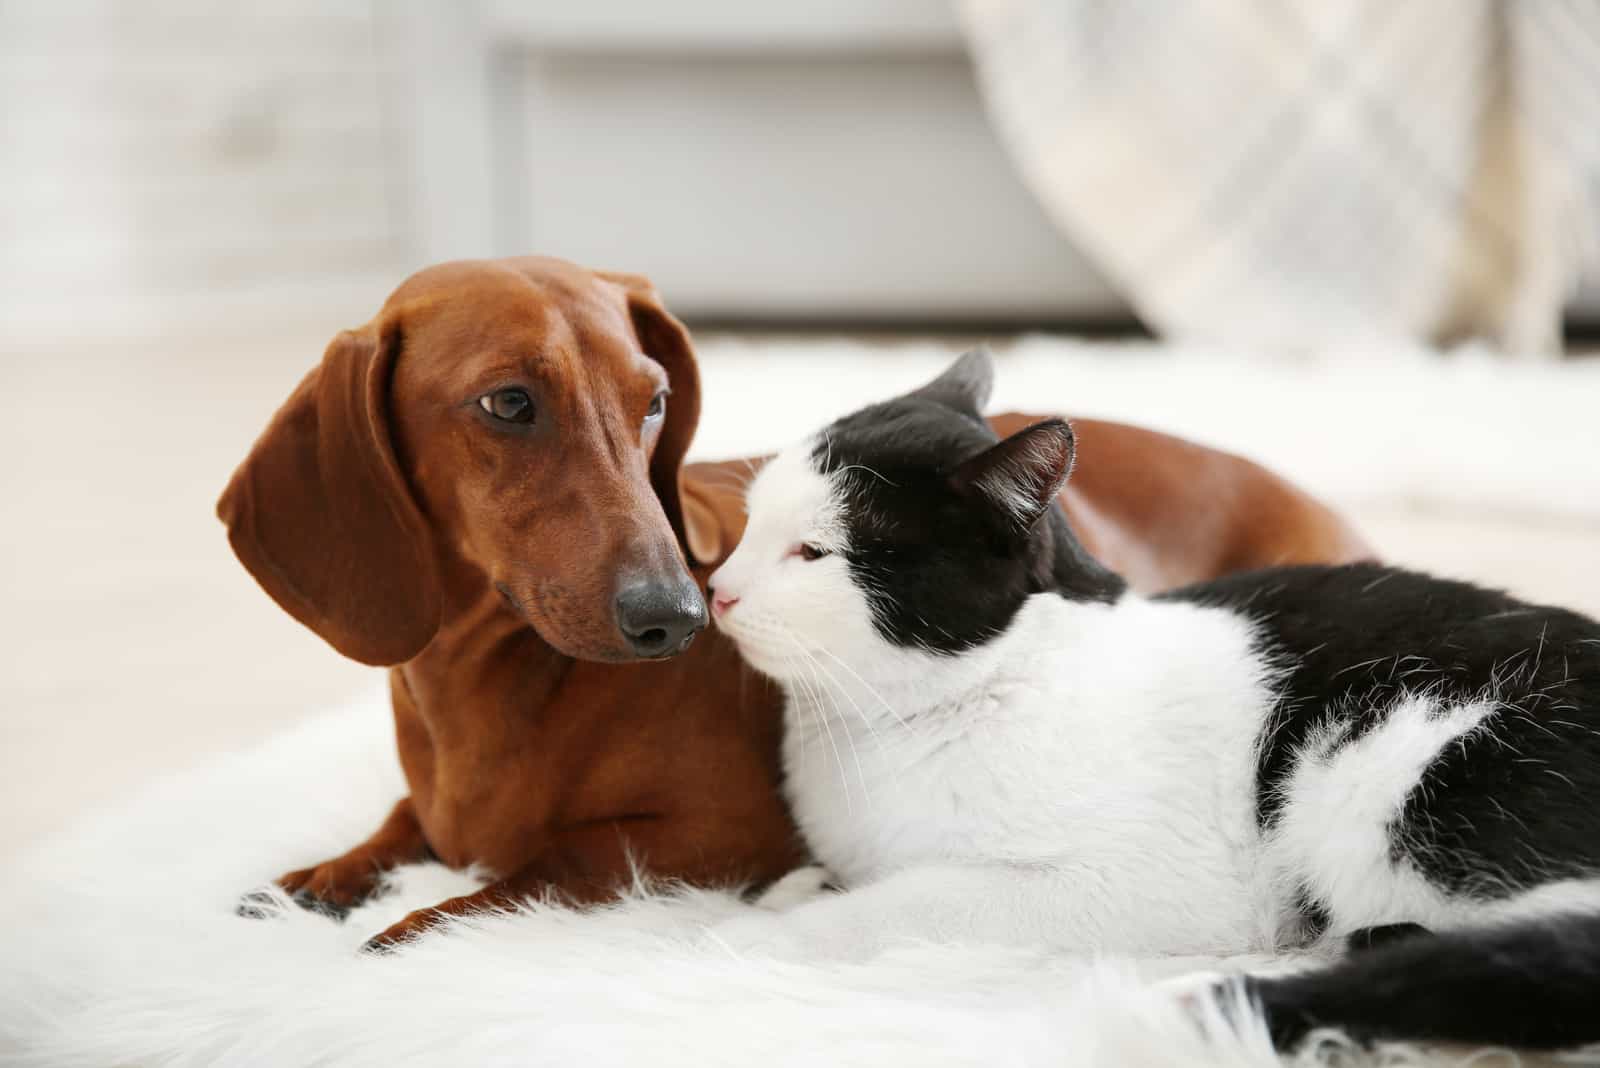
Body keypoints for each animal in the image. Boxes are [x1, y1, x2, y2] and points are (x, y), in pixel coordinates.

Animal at [222, 259, 1376, 952]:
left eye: (653, 400)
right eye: (508, 402)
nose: (677, 616)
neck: (486, 678)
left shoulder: (719, 839)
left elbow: (552, 861)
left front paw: (410, 928)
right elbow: (402, 821)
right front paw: (332, 875)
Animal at [710, 351, 1600, 1048]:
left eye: (812, 552)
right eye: (749, 525)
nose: (717, 589)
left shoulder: (1140, 883)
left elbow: (904, 901)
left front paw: (744, 928)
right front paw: (796, 887)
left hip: (1401, 767)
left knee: (1540, 959)